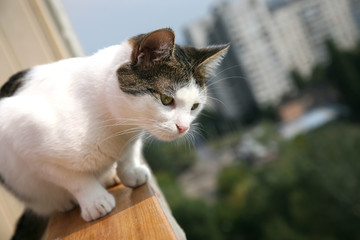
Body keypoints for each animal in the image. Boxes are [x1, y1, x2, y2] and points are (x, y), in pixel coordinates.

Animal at [0, 27, 228, 236]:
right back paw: (65, 202)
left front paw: (131, 173)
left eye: (194, 106)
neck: (117, 125)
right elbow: (73, 179)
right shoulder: (25, 142)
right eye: (166, 99)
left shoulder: (132, 137)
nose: (183, 127)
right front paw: (95, 201)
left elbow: (128, 154)